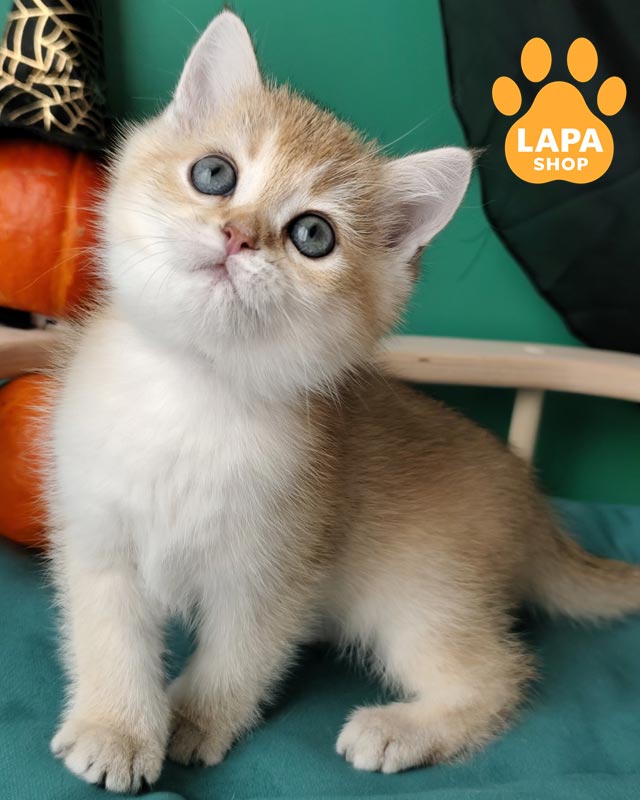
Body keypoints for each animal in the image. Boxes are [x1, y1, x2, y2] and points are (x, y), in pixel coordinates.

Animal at [47, 10, 640, 794]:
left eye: (312, 235)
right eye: (214, 174)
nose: (238, 235)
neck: (195, 393)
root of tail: (536, 506)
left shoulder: (275, 570)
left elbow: (240, 656)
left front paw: (197, 719)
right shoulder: (98, 537)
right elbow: (110, 638)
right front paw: (116, 727)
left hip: (422, 593)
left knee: (501, 674)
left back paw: (400, 729)